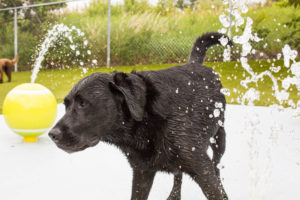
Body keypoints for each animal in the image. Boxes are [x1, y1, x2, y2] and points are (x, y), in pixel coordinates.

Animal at [49, 32, 232, 199]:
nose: (53, 135)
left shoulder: (201, 169)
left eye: (83, 104)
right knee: (178, 174)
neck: (147, 120)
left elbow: (216, 187)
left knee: (215, 165)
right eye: (66, 105)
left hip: (219, 138)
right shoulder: (142, 172)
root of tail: (195, 63)